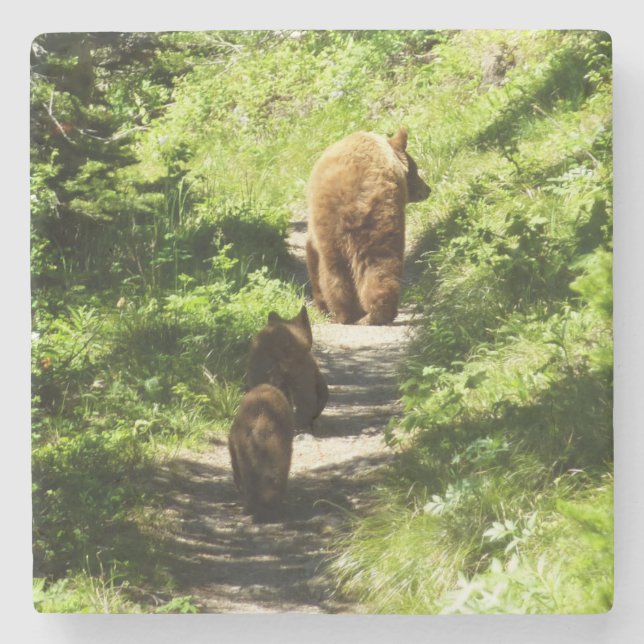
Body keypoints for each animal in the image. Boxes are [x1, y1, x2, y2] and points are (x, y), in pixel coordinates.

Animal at [306, 127, 431, 325]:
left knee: (338, 271)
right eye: (416, 169)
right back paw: (373, 313)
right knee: (377, 264)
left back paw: (348, 314)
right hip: (376, 220)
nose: (427, 189)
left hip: (339, 226)